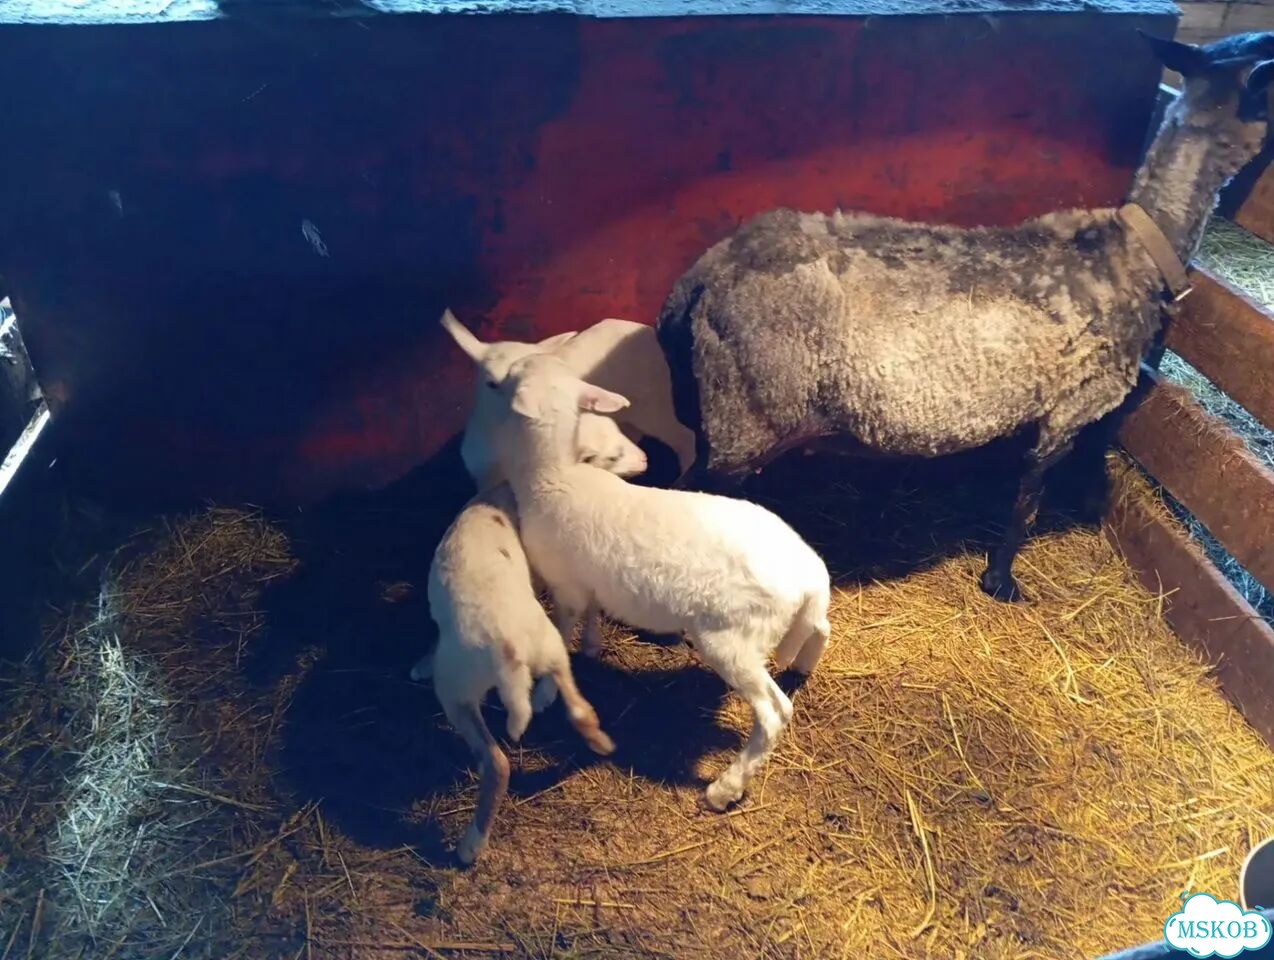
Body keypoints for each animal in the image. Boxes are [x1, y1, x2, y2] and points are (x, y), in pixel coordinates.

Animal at [421, 482, 616, 865]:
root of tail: (509, 653)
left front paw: (418, 666)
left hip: (455, 691)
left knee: (497, 764)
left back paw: (470, 846)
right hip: (550, 648)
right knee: (579, 709)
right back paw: (602, 744)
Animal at [473, 346, 832, 812]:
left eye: (505, 381)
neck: (552, 477)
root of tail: (809, 574)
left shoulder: (565, 584)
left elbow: (561, 629)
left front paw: (546, 692)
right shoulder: (588, 582)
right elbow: (590, 616)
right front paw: (591, 648)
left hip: (732, 639)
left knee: (774, 713)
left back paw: (725, 789)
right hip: (786, 619)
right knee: (820, 628)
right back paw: (802, 665)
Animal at [655, 31, 1274, 602]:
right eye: (1265, 78)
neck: (1137, 249)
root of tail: (703, 273)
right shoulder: (1072, 406)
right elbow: (1027, 499)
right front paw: (1002, 582)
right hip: (746, 416)